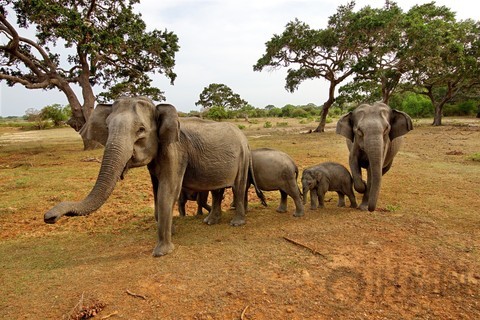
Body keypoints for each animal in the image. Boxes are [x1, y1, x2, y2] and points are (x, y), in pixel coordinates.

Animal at [44, 96, 266, 256]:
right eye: (107, 127)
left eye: (141, 130)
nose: (49, 217)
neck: (159, 108)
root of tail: (244, 138)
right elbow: (156, 189)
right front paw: (172, 231)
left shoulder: (175, 151)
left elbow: (168, 190)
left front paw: (161, 252)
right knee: (217, 190)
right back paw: (210, 222)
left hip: (243, 157)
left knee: (238, 187)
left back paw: (236, 223)